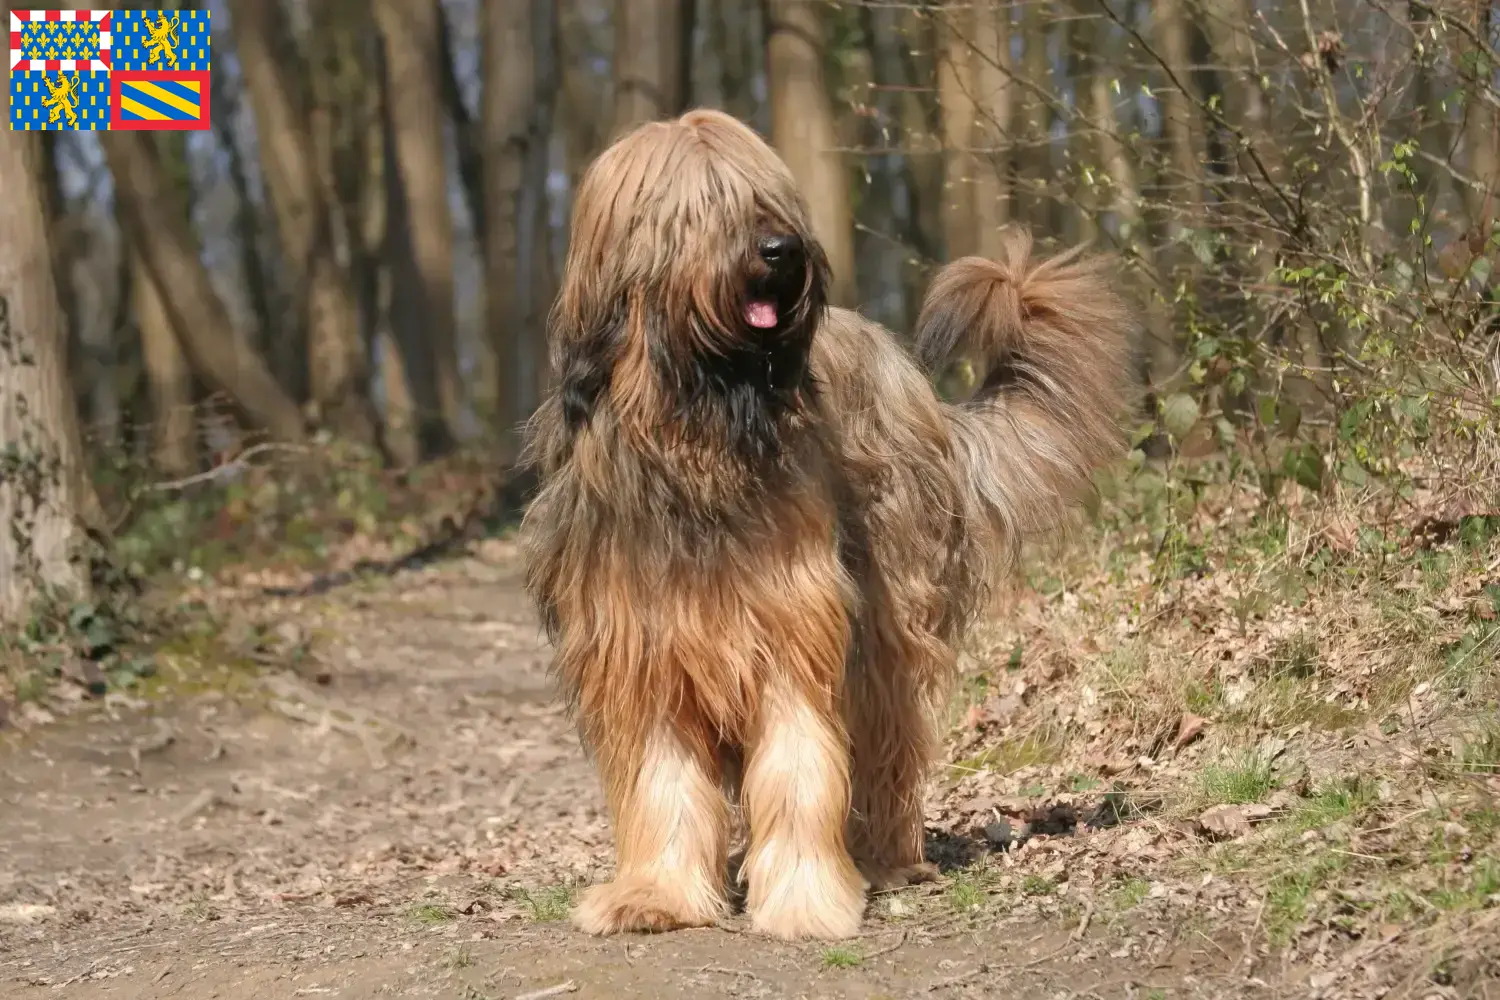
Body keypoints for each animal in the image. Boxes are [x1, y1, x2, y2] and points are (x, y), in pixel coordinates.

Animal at [519, 105, 1134, 941]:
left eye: (766, 195)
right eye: (705, 202)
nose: (783, 251)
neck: (701, 436)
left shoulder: (793, 623)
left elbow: (799, 764)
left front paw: (806, 898)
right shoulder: (639, 646)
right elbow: (661, 778)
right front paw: (656, 896)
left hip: (889, 611)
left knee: (886, 739)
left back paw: (884, 856)